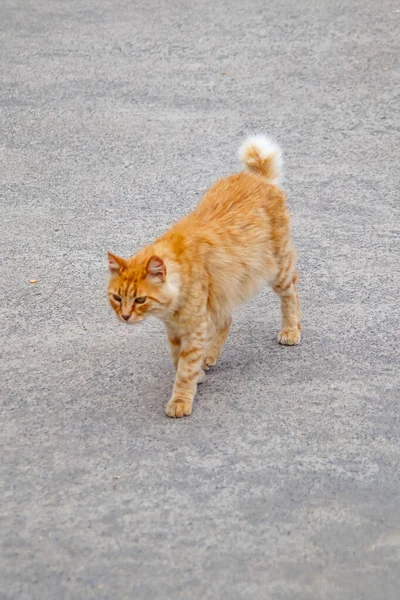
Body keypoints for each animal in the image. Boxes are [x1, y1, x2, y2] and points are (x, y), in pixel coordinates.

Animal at [106, 135, 300, 418]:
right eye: (117, 298)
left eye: (140, 300)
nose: (125, 316)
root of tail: (256, 176)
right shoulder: (176, 329)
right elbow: (179, 361)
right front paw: (195, 374)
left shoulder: (194, 325)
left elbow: (185, 369)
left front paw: (180, 400)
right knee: (226, 320)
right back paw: (210, 356)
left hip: (278, 269)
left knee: (291, 294)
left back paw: (291, 330)